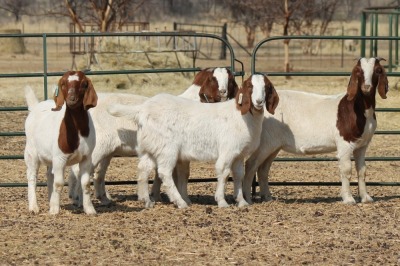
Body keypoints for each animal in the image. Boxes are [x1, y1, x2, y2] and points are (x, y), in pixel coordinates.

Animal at [24, 70, 98, 214]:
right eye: (63, 84)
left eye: (84, 84)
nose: (71, 99)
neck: (77, 130)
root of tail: (35, 107)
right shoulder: (60, 157)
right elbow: (59, 183)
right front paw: (54, 211)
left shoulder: (87, 157)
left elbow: (85, 183)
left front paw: (89, 209)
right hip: (31, 152)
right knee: (32, 176)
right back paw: (34, 207)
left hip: (50, 156)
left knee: (49, 175)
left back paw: (50, 201)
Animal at [69, 67, 239, 205]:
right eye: (212, 79)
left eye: (230, 79)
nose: (223, 92)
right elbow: (182, 174)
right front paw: (184, 198)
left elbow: (161, 174)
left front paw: (156, 196)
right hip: (99, 146)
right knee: (79, 169)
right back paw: (79, 199)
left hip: (107, 150)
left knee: (98, 173)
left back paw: (101, 199)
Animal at [108, 74, 280, 209]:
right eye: (250, 86)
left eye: (266, 87)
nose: (258, 101)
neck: (242, 116)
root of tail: (142, 109)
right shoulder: (227, 151)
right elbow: (224, 172)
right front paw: (222, 201)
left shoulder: (239, 154)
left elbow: (238, 175)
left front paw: (241, 202)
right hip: (167, 149)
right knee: (164, 172)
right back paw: (180, 202)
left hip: (151, 146)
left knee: (143, 168)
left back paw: (146, 201)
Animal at [242, 57, 390, 205]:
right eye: (358, 71)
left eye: (378, 70)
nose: (366, 87)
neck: (358, 109)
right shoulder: (344, 143)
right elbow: (346, 169)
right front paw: (348, 199)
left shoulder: (362, 145)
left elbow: (362, 170)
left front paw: (366, 198)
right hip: (264, 143)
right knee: (251, 165)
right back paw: (247, 199)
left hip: (273, 145)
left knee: (263, 169)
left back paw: (267, 197)